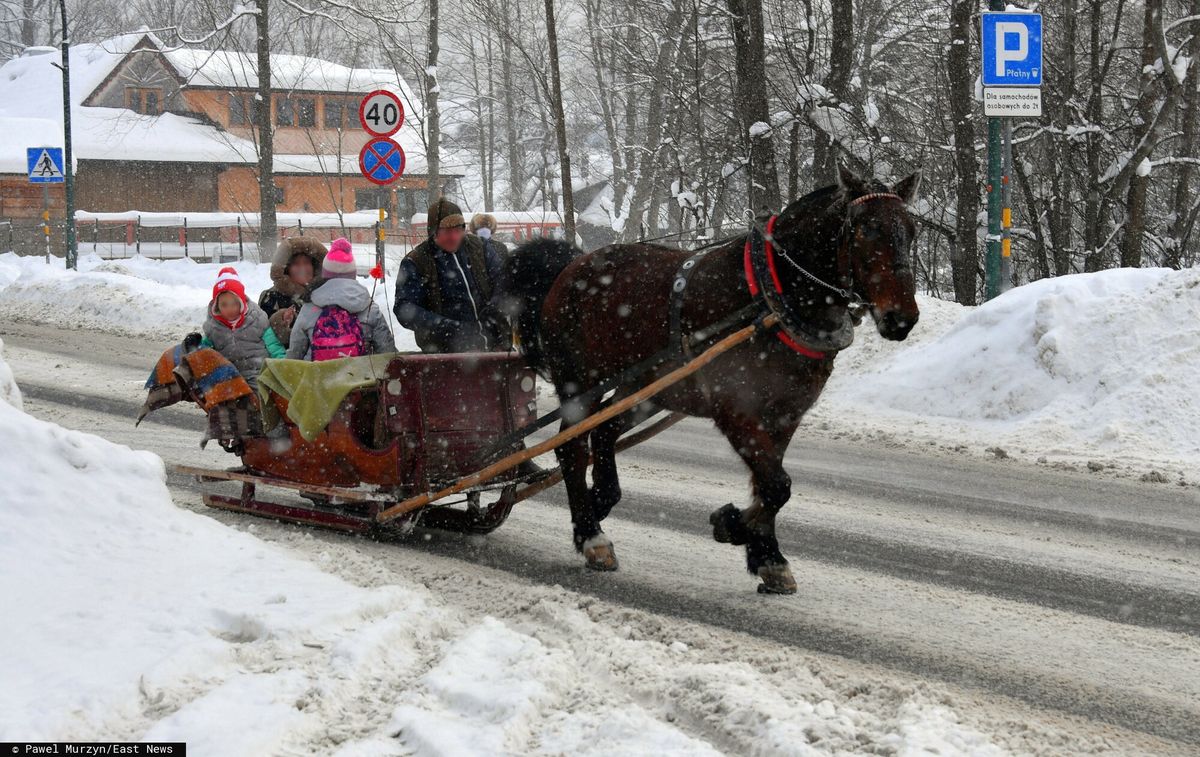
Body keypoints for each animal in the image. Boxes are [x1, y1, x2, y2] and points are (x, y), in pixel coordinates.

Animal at [496, 169, 916, 595]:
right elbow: (777, 485)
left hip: (646, 389)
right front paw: (732, 526)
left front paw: (766, 556)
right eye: (867, 230)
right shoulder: (737, 410)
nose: (902, 318)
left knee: (604, 432)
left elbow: (769, 486)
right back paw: (591, 535)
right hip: (580, 382)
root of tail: (572, 265)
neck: (772, 298)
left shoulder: (785, 415)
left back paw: (602, 498)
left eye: (912, 232)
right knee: (571, 447)